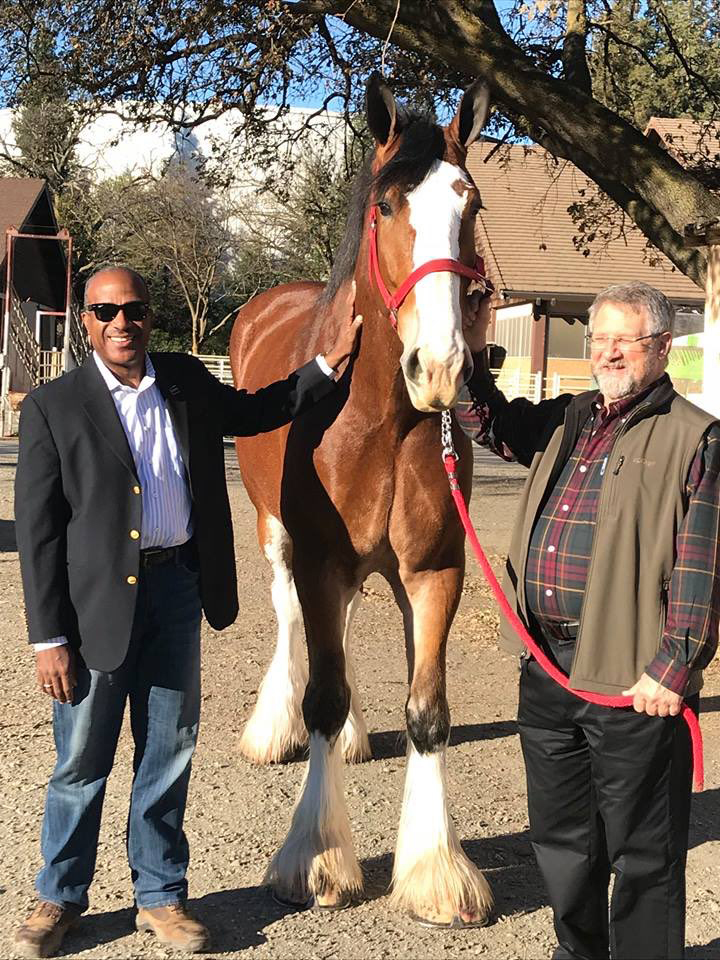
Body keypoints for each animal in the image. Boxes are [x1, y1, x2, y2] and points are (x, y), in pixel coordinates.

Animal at [231, 77, 496, 928]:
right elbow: (320, 689)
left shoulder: (435, 571)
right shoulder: (317, 557)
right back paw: (273, 727)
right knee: (292, 623)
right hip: (276, 533)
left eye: (470, 201)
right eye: (387, 205)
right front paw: (314, 859)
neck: (378, 416)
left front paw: (436, 871)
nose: (439, 367)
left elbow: (427, 710)